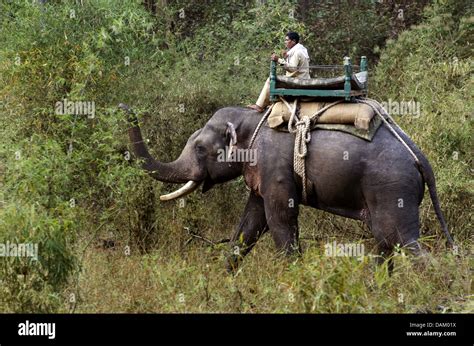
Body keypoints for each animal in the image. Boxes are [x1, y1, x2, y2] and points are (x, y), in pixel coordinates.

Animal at [118, 101, 452, 268]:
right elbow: (251, 223)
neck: (251, 118)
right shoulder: (261, 173)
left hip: (392, 188)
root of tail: (420, 158)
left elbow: (279, 219)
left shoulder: (274, 166)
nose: (123, 106)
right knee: (385, 243)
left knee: (401, 240)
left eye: (200, 148)